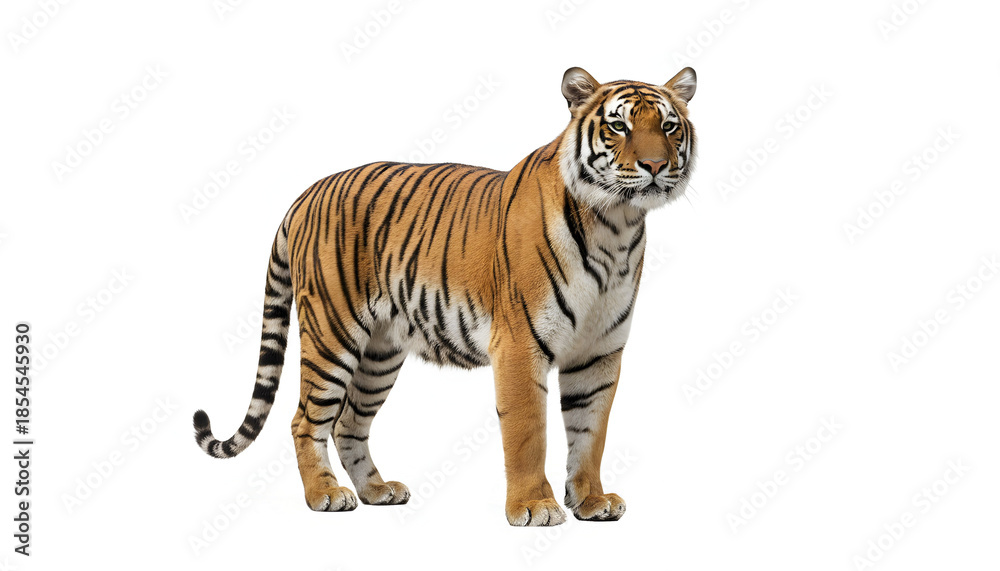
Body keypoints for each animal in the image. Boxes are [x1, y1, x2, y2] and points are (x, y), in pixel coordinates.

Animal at [193, 66, 697, 526]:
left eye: (669, 127)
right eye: (619, 126)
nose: (655, 166)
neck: (616, 226)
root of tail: (306, 193)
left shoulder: (598, 352)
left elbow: (591, 433)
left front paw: (592, 501)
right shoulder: (520, 345)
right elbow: (528, 432)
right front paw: (534, 506)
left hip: (380, 352)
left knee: (349, 422)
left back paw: (377, 491)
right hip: (331, 334)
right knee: (306, 420)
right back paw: (326, 494)